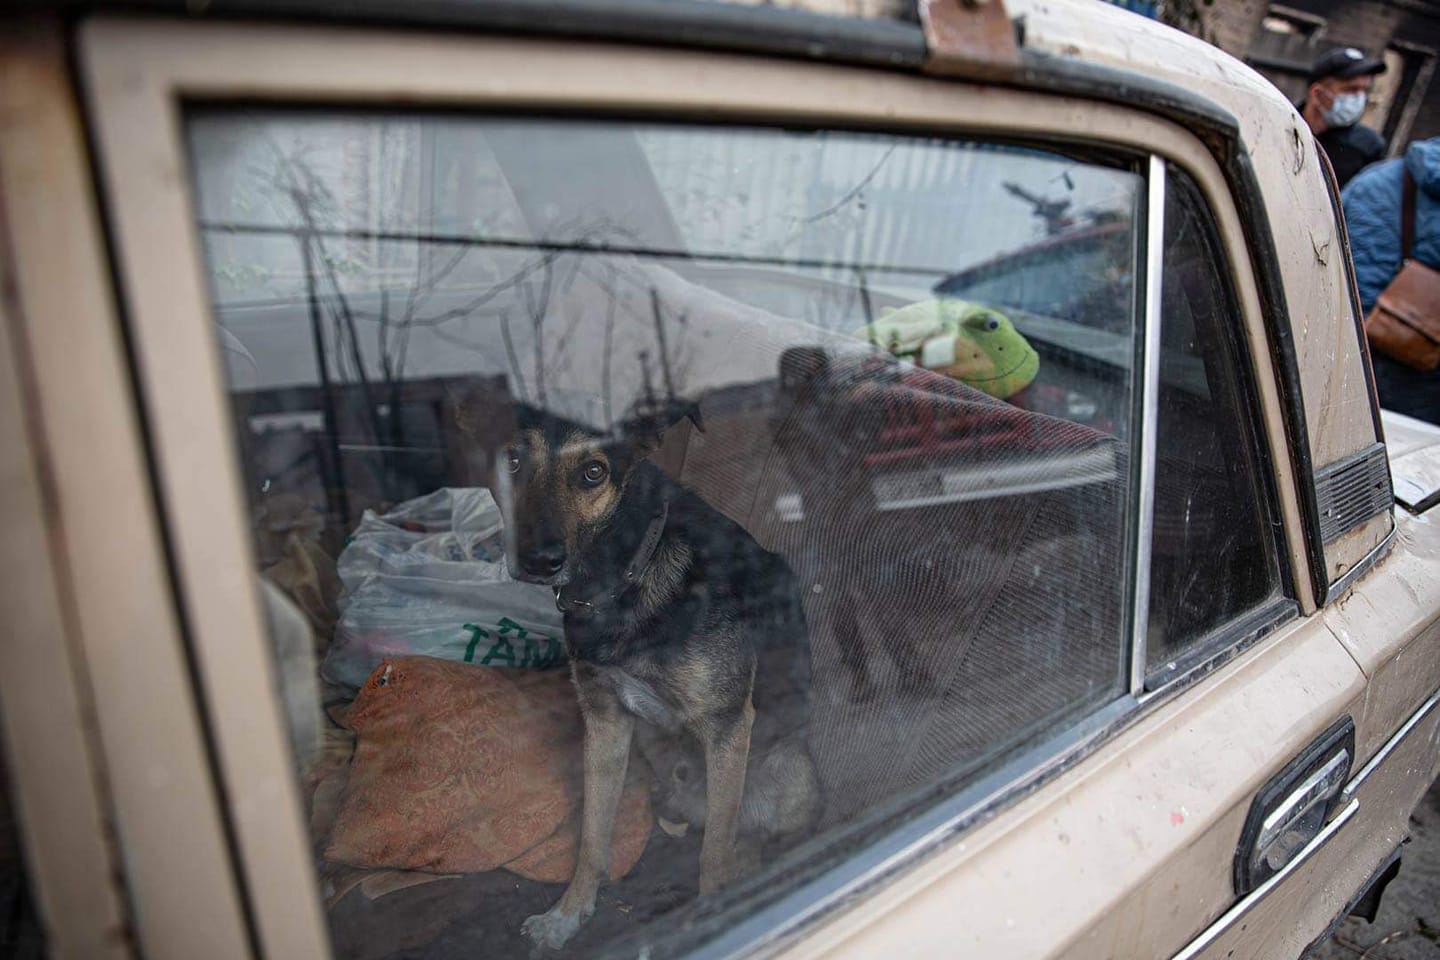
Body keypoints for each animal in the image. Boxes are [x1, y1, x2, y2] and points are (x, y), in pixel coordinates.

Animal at [463, 394, 817, 949]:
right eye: (513, 461)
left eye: (594, 472)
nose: (538, 560)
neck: (623, 576)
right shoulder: (605, 720)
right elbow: (592, 836)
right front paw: (569, 914)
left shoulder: (727, 725)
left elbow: (714, 854)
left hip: (789, 770)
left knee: (745, 838)